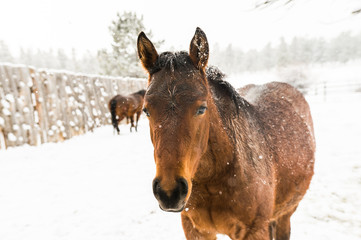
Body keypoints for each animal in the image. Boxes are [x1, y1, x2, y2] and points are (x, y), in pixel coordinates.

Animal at [136, 27, 314, 239]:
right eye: (146, 110)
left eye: (201, 108)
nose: (169, 191)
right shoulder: (196, 230)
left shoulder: (254, 231)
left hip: (284, 215)